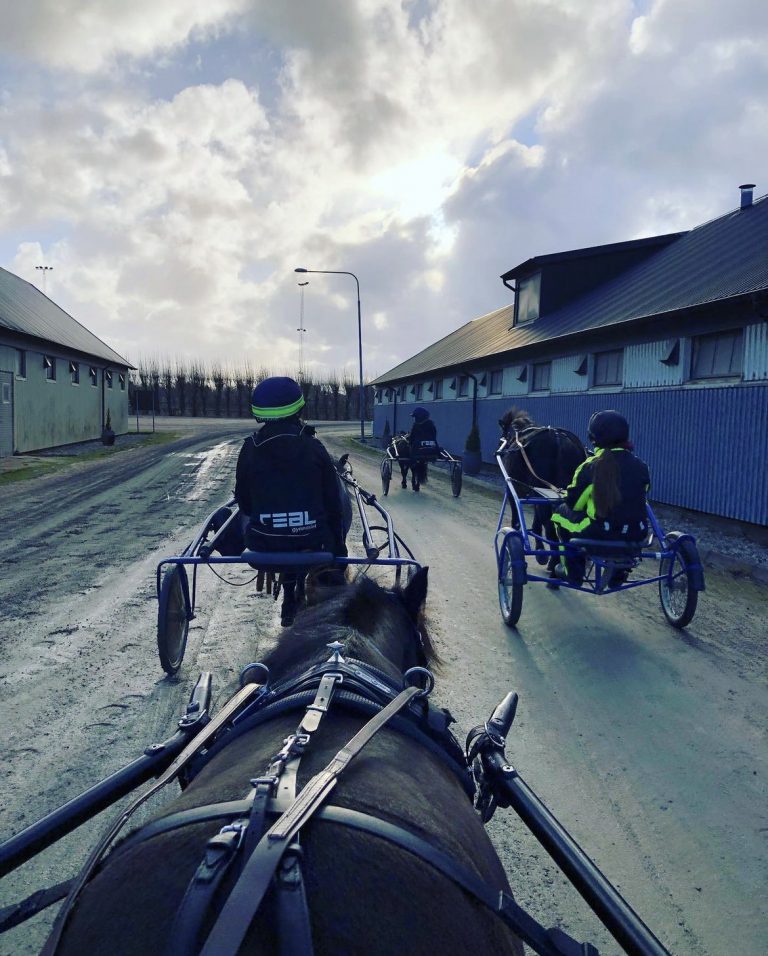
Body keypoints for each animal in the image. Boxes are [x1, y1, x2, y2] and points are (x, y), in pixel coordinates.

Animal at [500, 408, 584, 568]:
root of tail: (558, 439)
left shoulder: (515, 489)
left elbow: (518, 517)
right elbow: (537, 521)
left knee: (551, 529)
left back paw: (554, 562)